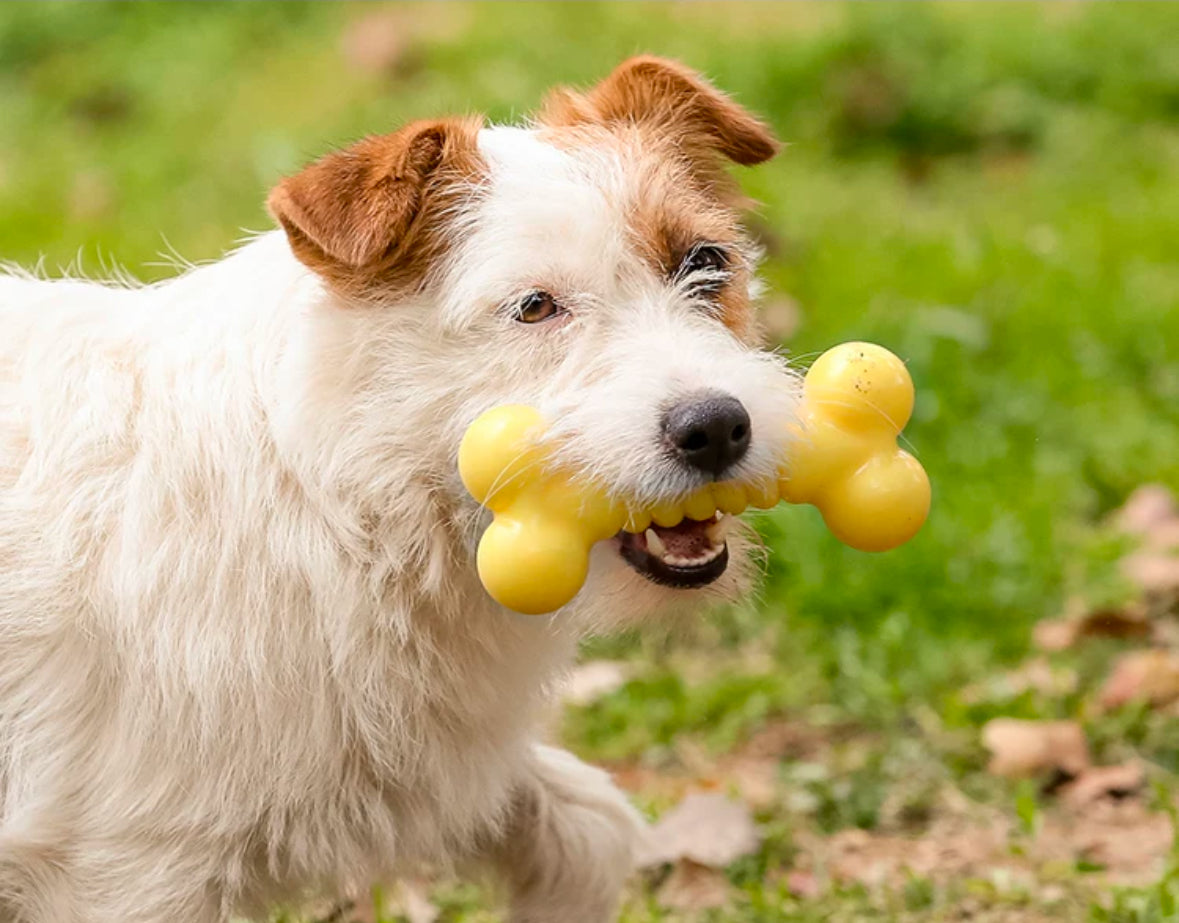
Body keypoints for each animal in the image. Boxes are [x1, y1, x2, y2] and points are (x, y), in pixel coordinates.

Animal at [0, 57, 801, 923]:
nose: (716, 427)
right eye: (534, 306)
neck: (344, 496)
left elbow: (587, 825)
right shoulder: (137, 869)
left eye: (703, 261)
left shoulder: (421, 764)